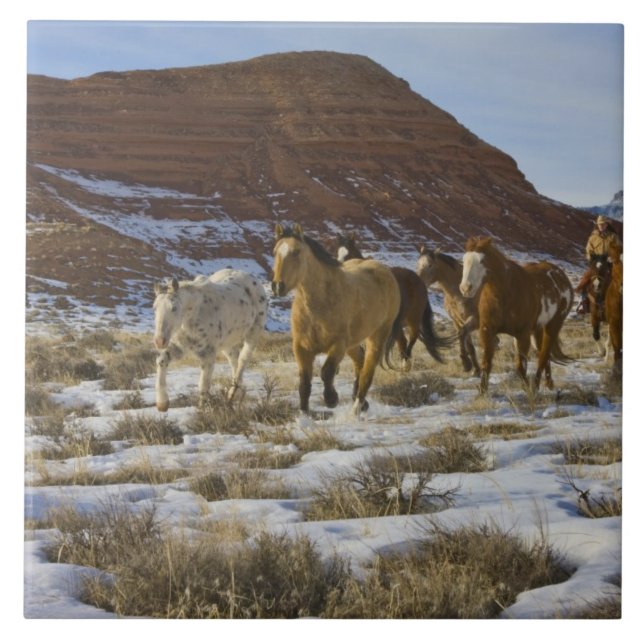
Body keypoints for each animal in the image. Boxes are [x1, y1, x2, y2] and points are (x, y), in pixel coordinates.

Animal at [153, 269, 268, 412]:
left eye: (174, 308)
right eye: (154, 307)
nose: (159, 341)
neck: (193, 315)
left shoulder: (208, 354)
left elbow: (203, 385)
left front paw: (203, 409)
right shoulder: (180, 347)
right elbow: (162, 361)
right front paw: (162, 403)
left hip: (253, 333)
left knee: (242, 360)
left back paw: (231, 395)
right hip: (227, 344)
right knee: (234, 362)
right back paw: (237, 392)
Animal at [272, 224, 402, 416]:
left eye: (296, 252)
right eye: (275, 252)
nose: (277, 286)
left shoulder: (338, 344)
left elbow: (326, 372)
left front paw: (331, 399)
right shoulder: (301, 347)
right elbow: (304, 383)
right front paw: (304, 414)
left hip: (377, 336)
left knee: (367, 372)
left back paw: (357, 408)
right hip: (353, 343)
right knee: (360, 361)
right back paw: (360, 402)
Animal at [335, 233, 449, 370]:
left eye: (348, 254)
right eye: (337, 253)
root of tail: (418, 279)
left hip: (413, 318)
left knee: (413, 337)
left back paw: (406, 364)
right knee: (402, 341)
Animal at [416, 245, 482, 375]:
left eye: (430, 265)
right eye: (418, 264)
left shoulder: (474, 319)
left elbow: (462, 334)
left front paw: (466, 363)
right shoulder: (458, 320)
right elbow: (468, 344)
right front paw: (475, 369)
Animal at [459, 237, 573, 394]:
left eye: (482, 260)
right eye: (464, 260)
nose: (465, 288)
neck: (506, 292)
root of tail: (561, 276)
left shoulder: (522, 334)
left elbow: (520, 366)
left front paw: (527, 388)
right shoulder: (487, 330)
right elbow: (486, 363)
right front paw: (482, 391)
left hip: (554, 325)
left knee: (543, 356)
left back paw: (537, 386)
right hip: (538, 330)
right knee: (544, 355)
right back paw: (547, 385)